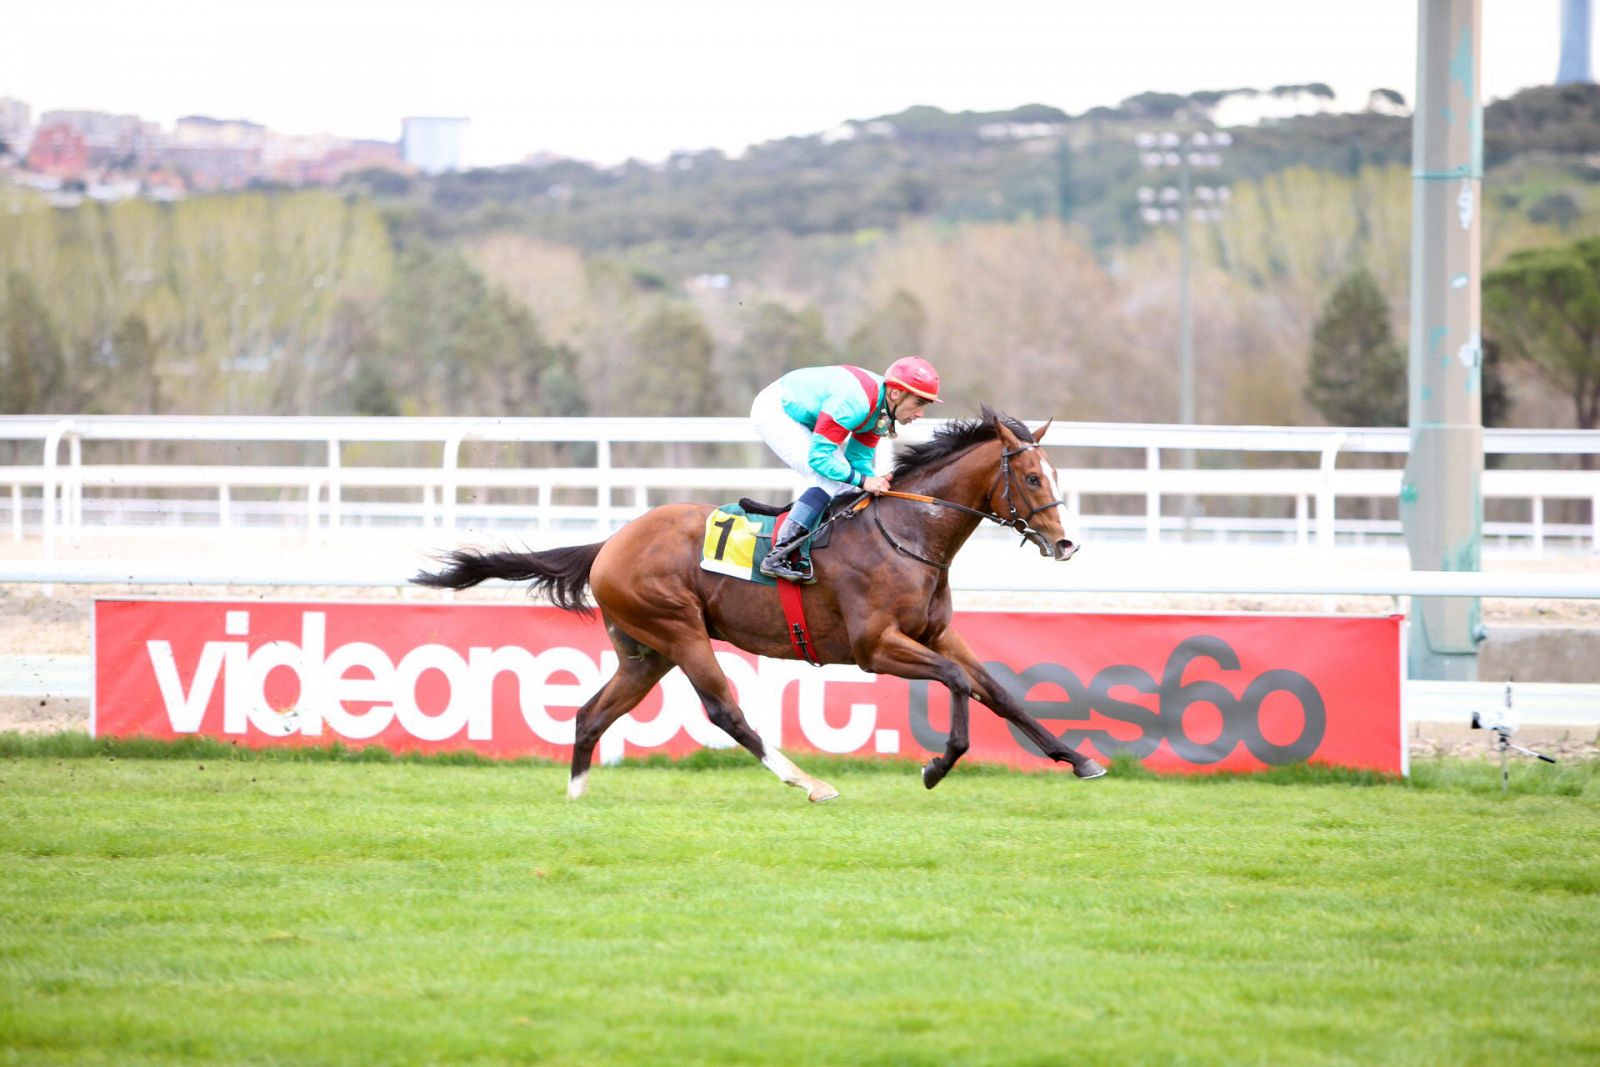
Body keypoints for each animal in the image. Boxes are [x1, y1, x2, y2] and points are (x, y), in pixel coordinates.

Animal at [412, 409, 1107, 799]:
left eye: (1055, 475)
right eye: (1033, 477)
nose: (1066, 543)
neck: (908, 533)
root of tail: (610, 543)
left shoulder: (936, 634)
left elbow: (999, 691)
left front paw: (1078, 760)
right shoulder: (875, 647)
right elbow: (959, 683)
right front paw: (938, 765)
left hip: (645, 652)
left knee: (590, 714)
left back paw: (577, 797)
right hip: (680, 631)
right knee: (726, 712)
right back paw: (810, 783)